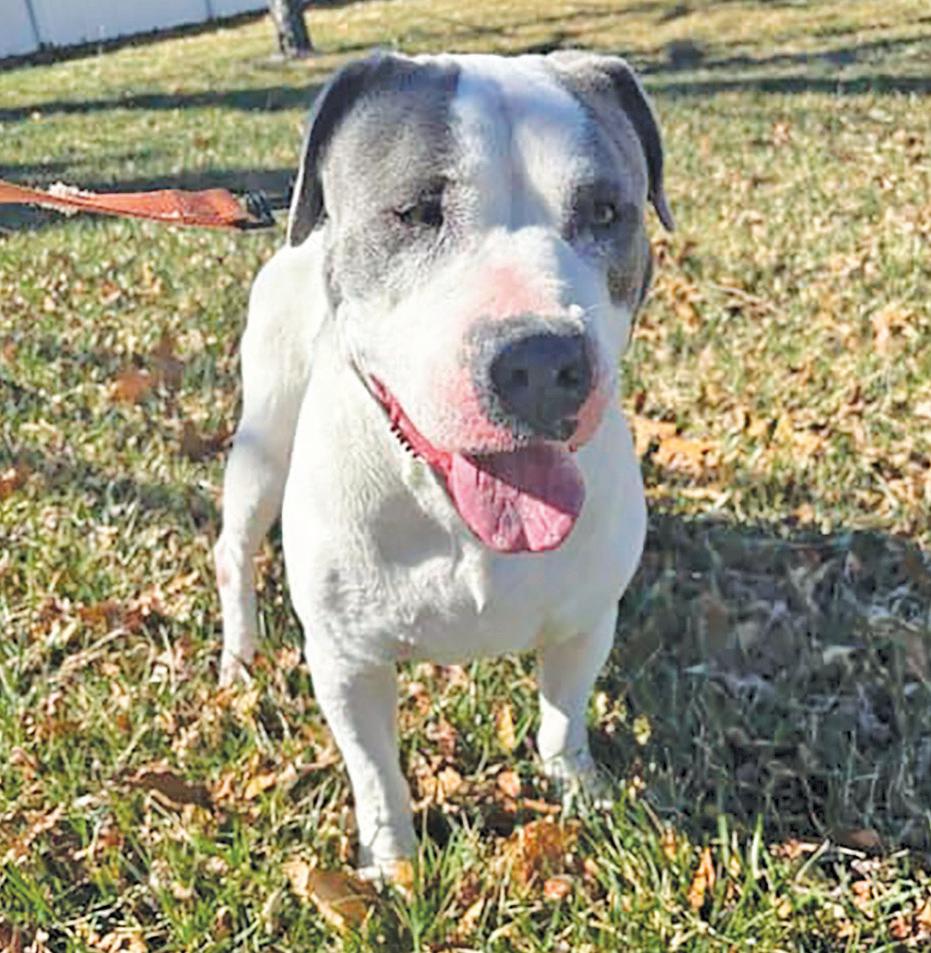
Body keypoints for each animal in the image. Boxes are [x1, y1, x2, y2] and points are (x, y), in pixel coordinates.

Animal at [213, 50, 673, 880]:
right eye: (416, 211)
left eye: (604, 212)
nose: (540, 361)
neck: (448, 512)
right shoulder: (347, 661)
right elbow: (375, 773)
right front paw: (391, 865)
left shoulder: (585, 619)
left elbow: (562, 721)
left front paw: (580, 795)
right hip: (263, 436)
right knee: (232, 547)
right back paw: (239, 658)